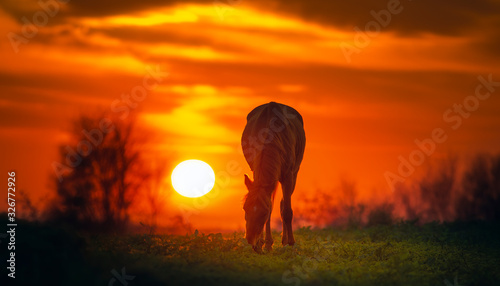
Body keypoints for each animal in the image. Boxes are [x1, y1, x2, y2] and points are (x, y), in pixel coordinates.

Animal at [241, 101, 306, 252]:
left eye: (263, 213)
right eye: (245, 208)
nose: (250, 240)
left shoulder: (288, 176)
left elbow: (287, 211)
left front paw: (291, 243)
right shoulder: (256, 171)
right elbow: (271, 206)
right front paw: (265, 243)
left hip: (294, 174)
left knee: (283, 204)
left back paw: (285, 241)